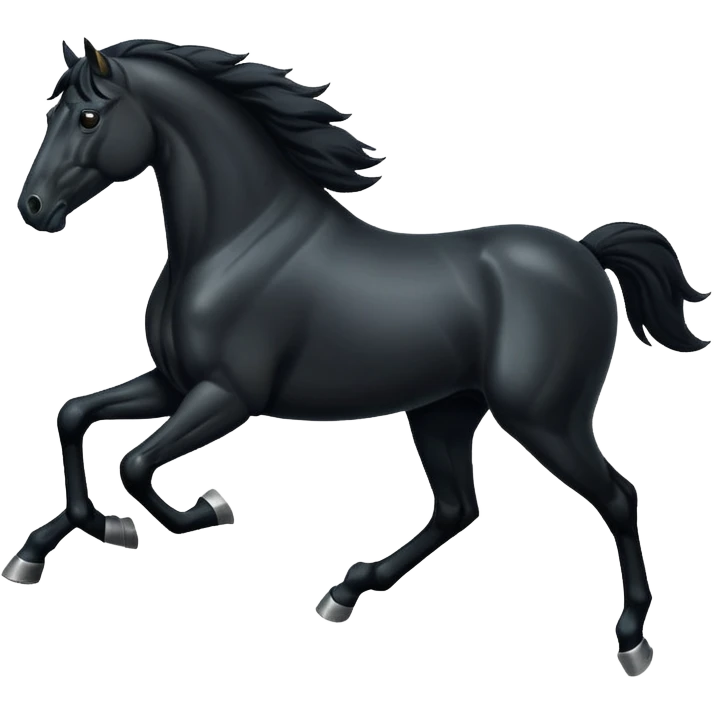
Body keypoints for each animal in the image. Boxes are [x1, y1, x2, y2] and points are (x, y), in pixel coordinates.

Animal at [10, 38, 710, 676]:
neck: (234, 241)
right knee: (457, 508)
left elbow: (134, 463)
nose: (33, 208)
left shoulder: (227, 397)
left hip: (546, 419)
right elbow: (74, 416)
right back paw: (345, 592)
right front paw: (53, 546)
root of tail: (587, 254)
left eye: (89, 118)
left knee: (618, 498)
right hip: (444, 412)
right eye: (51, 110)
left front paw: (203, 509)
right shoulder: (174, 384)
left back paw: (632, 639)